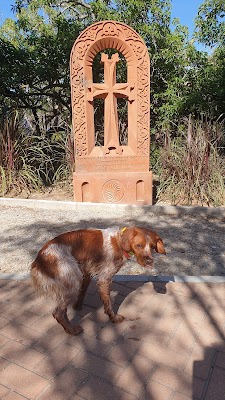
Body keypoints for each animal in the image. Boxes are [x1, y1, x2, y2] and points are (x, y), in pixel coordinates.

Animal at [30, 225, 166, 334]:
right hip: (73, 281)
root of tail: (39, 260)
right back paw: (72, 330)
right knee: (58, 313)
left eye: (152, 247)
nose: (149, 262)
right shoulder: (105, 278)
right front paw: (114, 318)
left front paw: (78, 306)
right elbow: (108, 303)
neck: (118, 242)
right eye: (139, 245)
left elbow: (83, 291)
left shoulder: (87, 272)